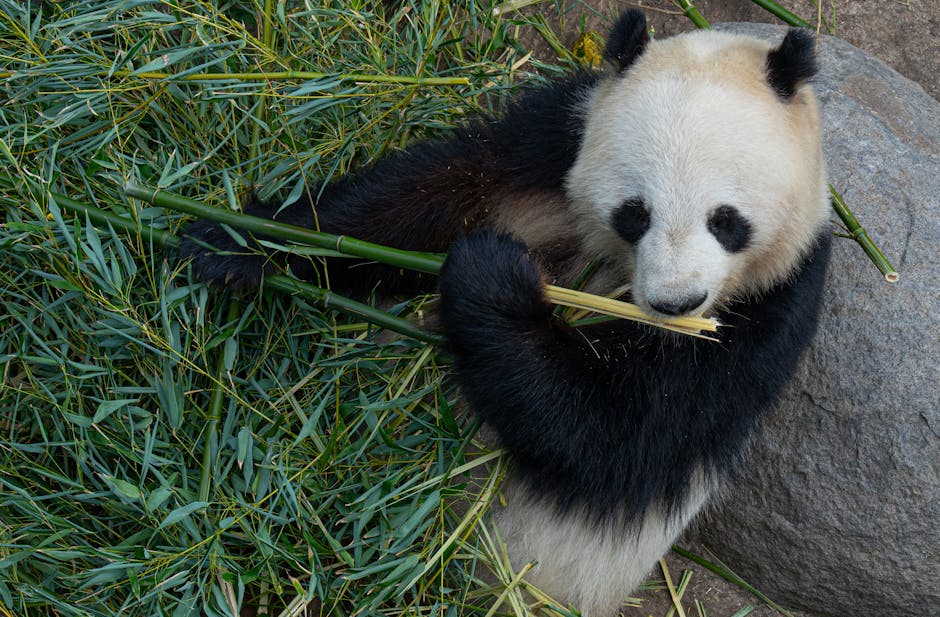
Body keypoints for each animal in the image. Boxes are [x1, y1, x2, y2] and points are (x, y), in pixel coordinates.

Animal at [182, 10, 832, 615]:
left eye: (726, 220)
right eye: (634, 213)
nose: (677, 303)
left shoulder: (771, 311)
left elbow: (615, 436)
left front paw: (490, 277)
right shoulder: (557, 137)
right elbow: (426, 197)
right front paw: (237, 239)